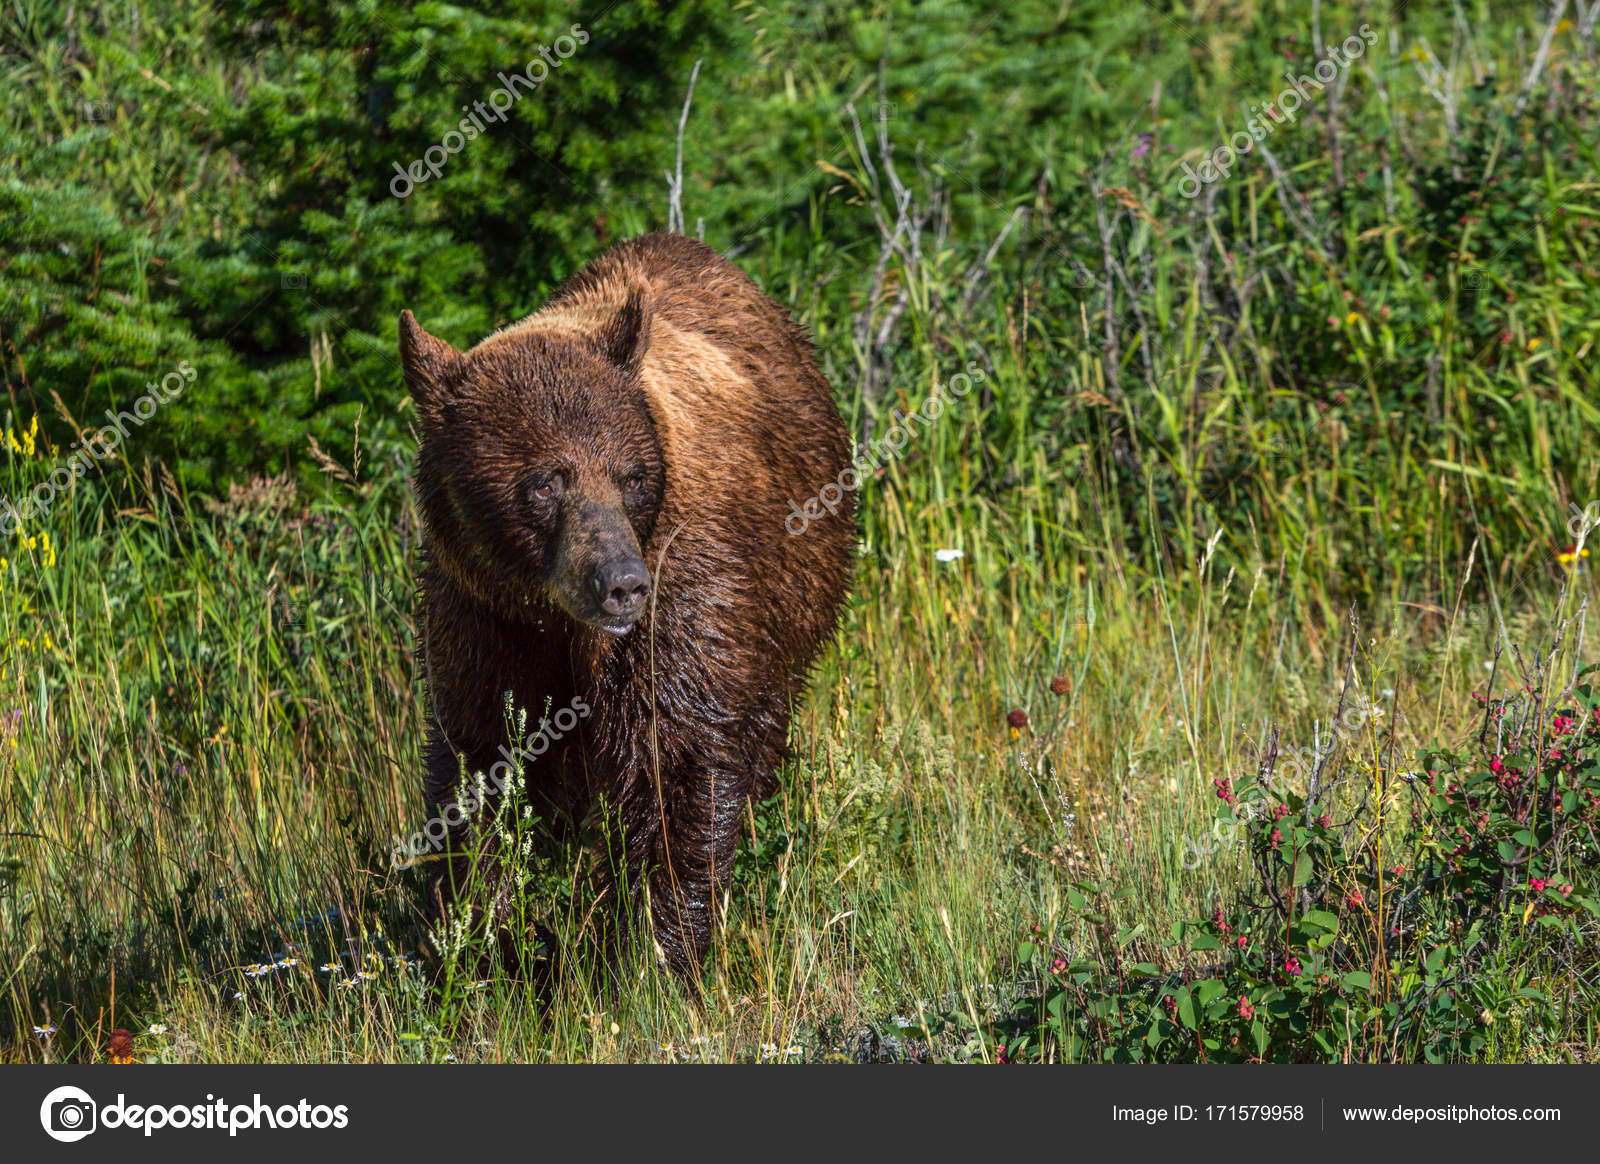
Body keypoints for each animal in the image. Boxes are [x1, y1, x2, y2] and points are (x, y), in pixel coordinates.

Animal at [398, 232, 856, 977]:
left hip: (794, 598)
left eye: (631, 475)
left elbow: (677, 755)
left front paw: (652, 950)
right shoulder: (480, 616)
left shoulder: (683, 591)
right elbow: (484, 761)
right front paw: (484, 933)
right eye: (546, 481)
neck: (553, 619)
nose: (620, 581)